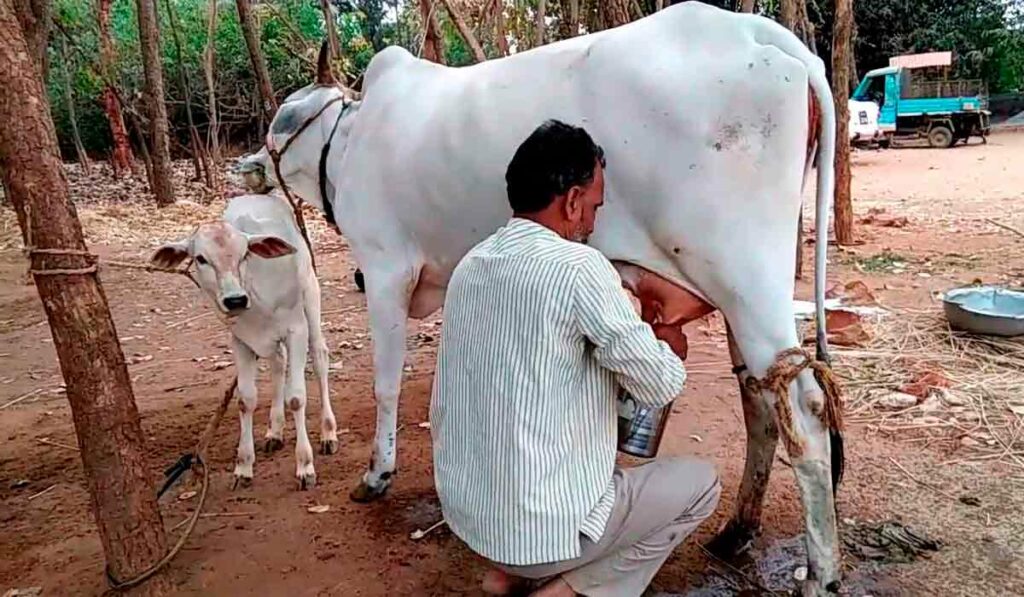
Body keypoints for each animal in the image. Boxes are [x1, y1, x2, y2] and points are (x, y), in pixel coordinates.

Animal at [149, 194, 337, 491]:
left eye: (244, 254)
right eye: (200, 258)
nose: (235, 300)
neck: (255, 295)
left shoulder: (296, 330)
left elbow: (296, 398)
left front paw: (305, 466)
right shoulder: (240, 341)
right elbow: (246, 401)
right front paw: (243, 466)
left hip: (311, 296)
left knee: (319, 357)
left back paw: (328, 433)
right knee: (278, 364)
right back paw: (275, 431)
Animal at [241, 3, 847, 593]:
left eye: (280, 121)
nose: (248, 168)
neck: (348, 142)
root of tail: (758, 33)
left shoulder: (386, 269)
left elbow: (385, 385)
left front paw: (376, 474)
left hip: (746, 279)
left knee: (806, 412)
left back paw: (821, 573)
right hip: (739, 298)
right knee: (760, 400)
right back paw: (737, 532)